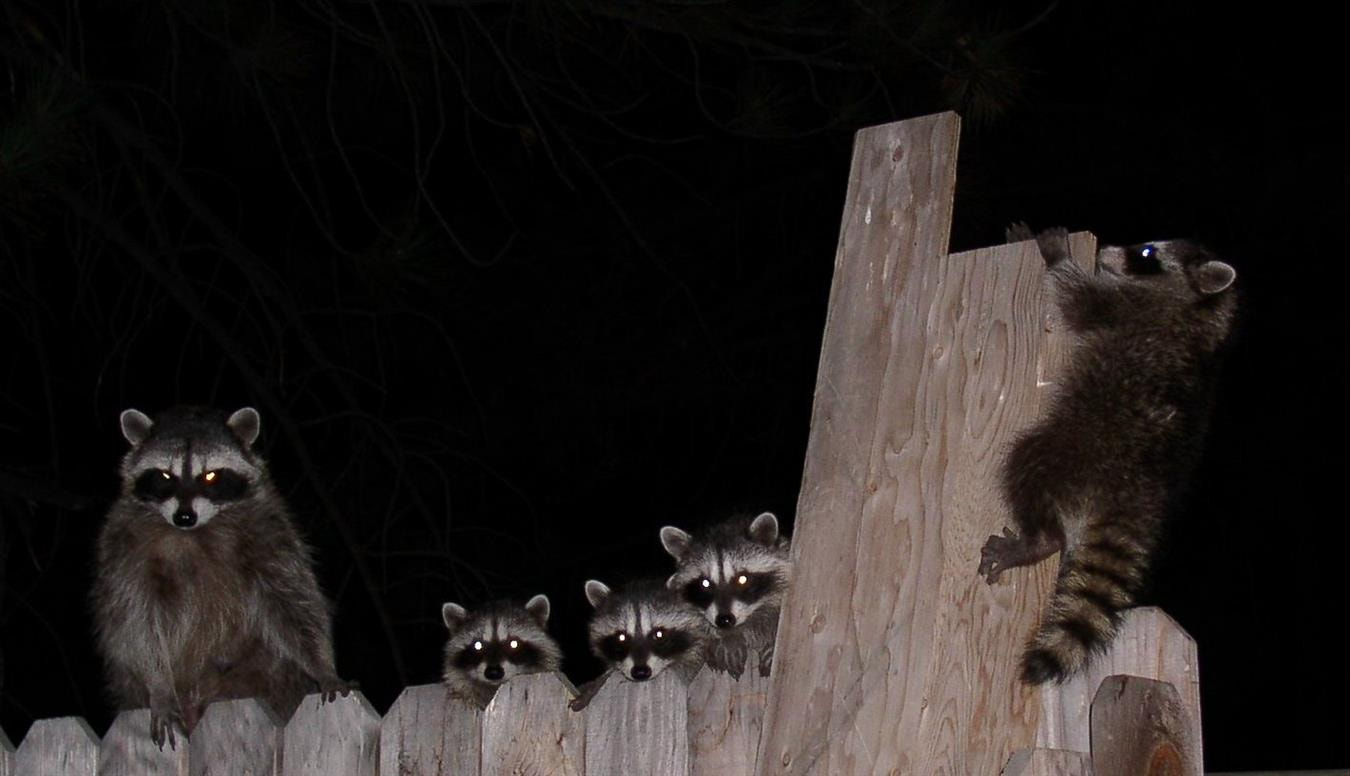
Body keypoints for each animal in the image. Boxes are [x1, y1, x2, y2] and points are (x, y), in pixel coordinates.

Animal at [93, 406, 350, 747]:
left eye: (210, 476)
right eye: (165, 476)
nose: (184, 516)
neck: (194, 531)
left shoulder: (269, 532)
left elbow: (293, 602)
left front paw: (322, 665)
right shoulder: (124, 549)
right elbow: (135, 620)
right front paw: (159, 686)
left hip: (258, 673)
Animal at [979, 225, 1237, 684]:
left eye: (1148, 253)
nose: (1109, 252)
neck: (1203, 305)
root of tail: (1140, 492)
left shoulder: (1121, 310)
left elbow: (1074, 298)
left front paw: (1056, 254)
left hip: (1076, 446)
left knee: (1026, 461)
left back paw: (1038, 541)